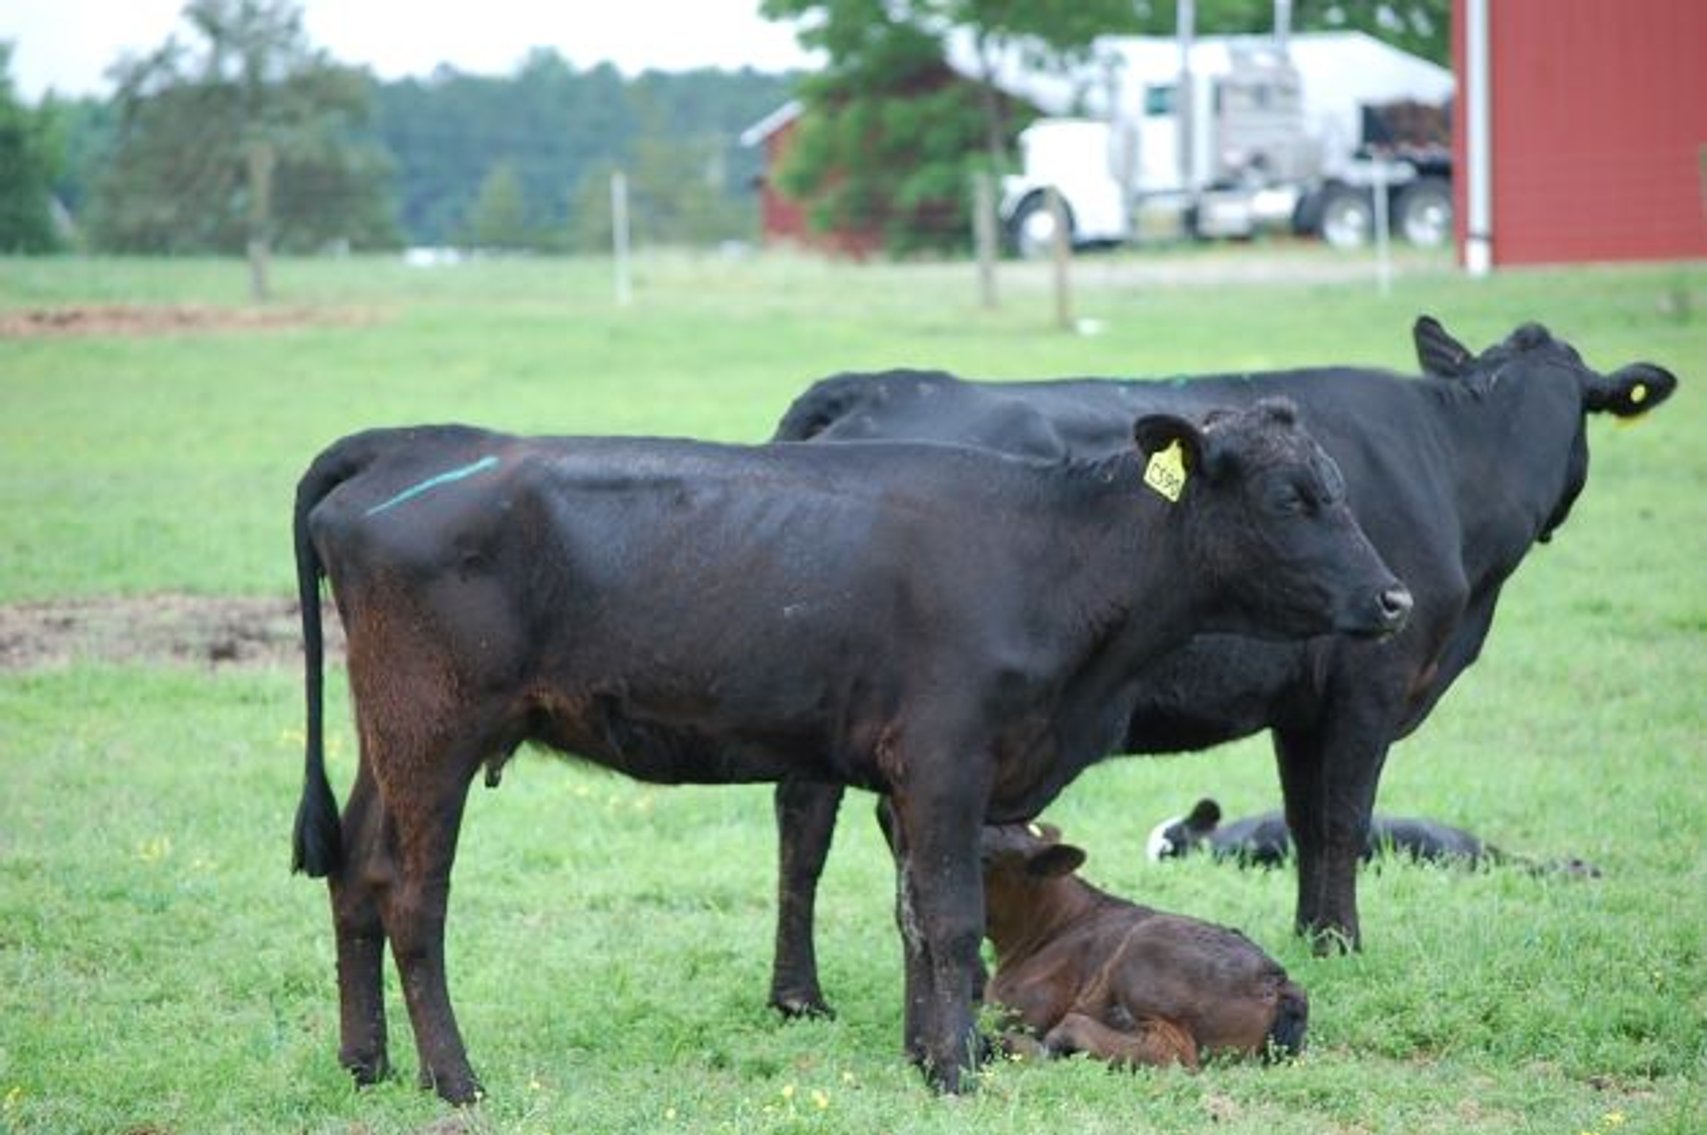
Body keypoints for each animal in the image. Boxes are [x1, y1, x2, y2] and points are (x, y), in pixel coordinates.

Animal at [764, 317, 1676, 1019]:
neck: (1459, 471)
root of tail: (882, 385)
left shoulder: (1299, 705)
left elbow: (1306, 821)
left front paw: (1312, 936)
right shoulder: (1367, 682)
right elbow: (1344, 821)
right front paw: (1342, 944)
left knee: (801, 833)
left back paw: (797, 996)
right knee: (823, 827)